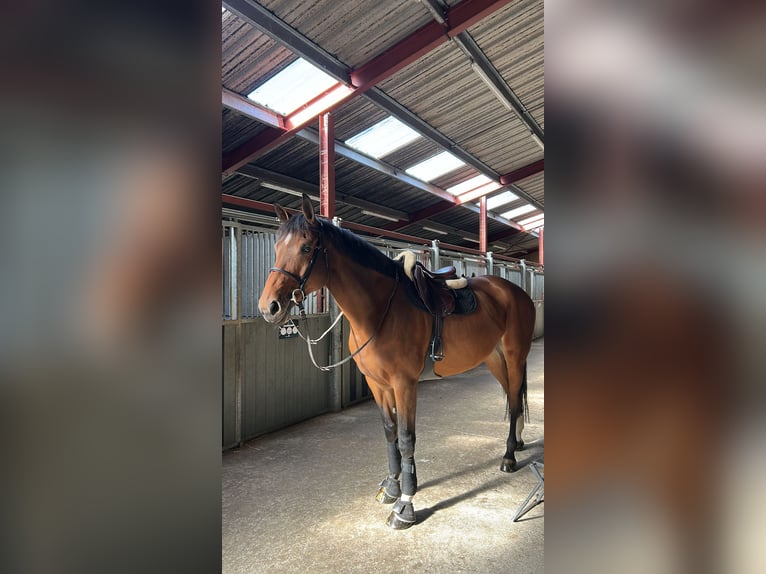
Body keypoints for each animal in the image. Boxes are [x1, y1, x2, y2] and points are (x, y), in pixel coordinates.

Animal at [258, 194, 536, 530]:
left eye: (306, 248)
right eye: (276, 247)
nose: (269, 307)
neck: (381, 310)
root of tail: (515, 292)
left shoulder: (405, 384)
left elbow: (405, 438)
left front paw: (405, 505)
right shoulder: (378, 384)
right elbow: (389, 433)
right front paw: (391, 487)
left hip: (515, 355)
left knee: (515, 398)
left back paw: (509, 457)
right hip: (494, 358)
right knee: (511, 396)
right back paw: (516, 443)